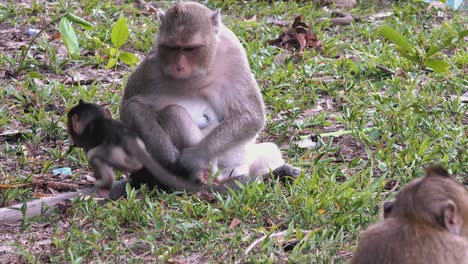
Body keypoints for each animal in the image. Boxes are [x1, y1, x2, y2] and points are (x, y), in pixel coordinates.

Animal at [119, 2, 298, 188]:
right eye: (172, 48)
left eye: (190, 49)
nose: (179, 66)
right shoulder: (153, 63)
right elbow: (131, 105)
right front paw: (164, 151)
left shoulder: (234, 55)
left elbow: (250, 114)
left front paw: (193, 157)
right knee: (173, 113)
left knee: (269, 150)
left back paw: (275, 173)